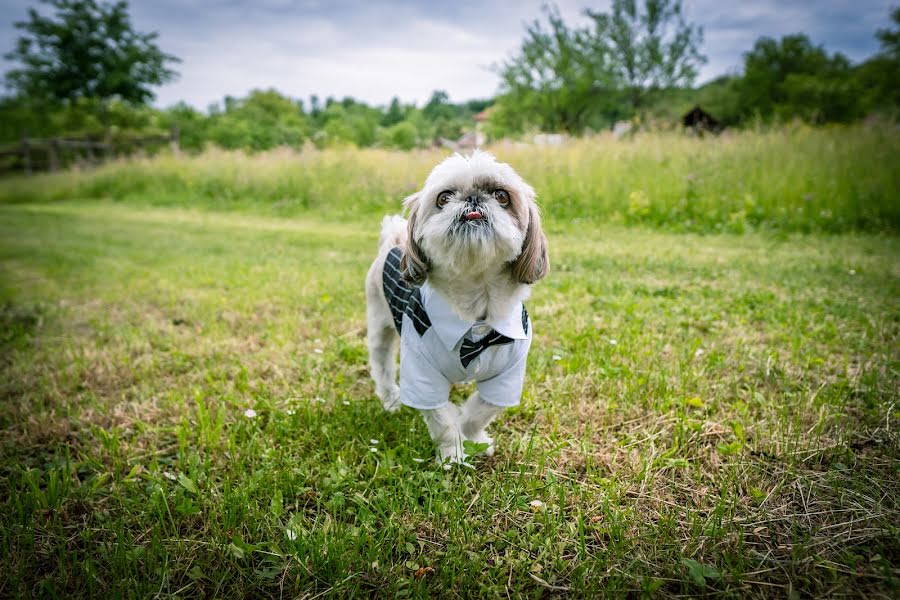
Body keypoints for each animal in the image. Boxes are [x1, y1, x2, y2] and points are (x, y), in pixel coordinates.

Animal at [364, 149, 548, 464]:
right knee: (382, 365)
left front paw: (474, 439)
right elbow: (441, 419)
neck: (475, 306)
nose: (473, 198)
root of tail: (394, 240)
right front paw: (452, 452)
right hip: (379, 326)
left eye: (501, 196)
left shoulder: (508, 374)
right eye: (444, 197)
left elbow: (481, 410)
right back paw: (390, 400)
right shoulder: (421, 372)